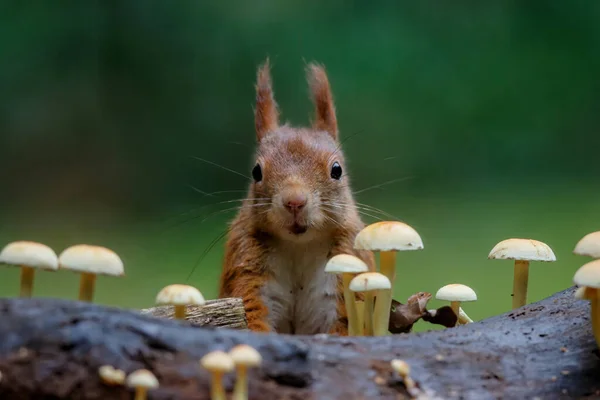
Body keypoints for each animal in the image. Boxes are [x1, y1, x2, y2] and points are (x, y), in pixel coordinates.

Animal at [218, 59, 372, 334]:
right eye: (256, 171)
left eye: (337, 170)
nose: (294, 202)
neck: (298, 246)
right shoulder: (247, 266)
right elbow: (252, 313)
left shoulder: (346, 266)